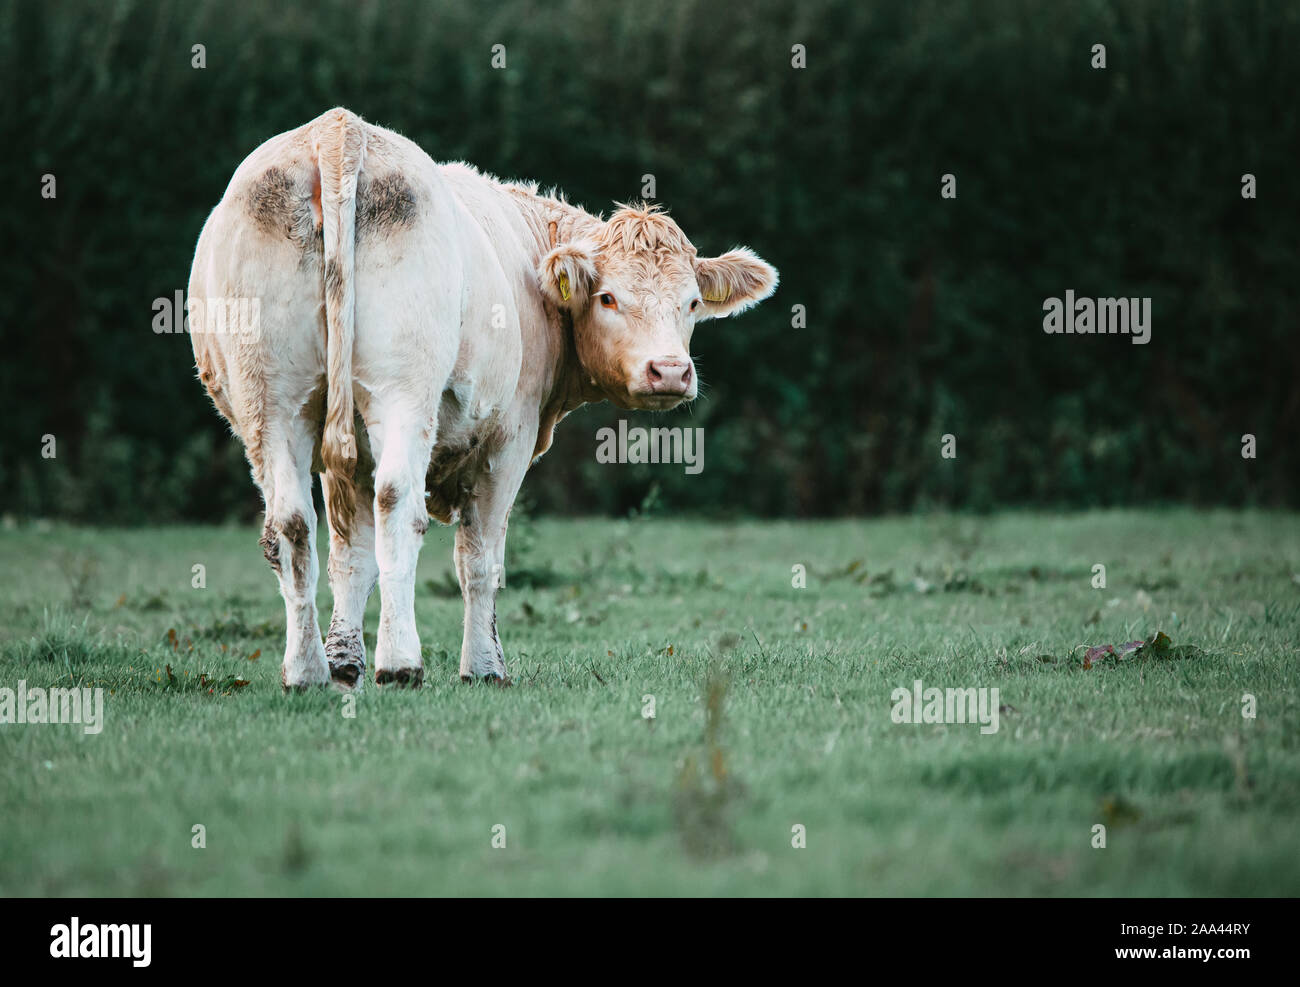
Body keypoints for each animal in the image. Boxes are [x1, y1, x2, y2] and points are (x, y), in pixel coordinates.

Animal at [188, 107, 774, 691]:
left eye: (692, 302)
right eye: (607, 297)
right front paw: (484, 666)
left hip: (274, 401)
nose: (670, 371)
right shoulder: (508, 438)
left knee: (291, 523)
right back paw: (400, 663)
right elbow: (480, 558)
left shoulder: (344, 459)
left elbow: (351, 557)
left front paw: (344, 661)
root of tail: (338, 129)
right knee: (398, 505)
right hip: (403, 392)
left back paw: (306, 670)